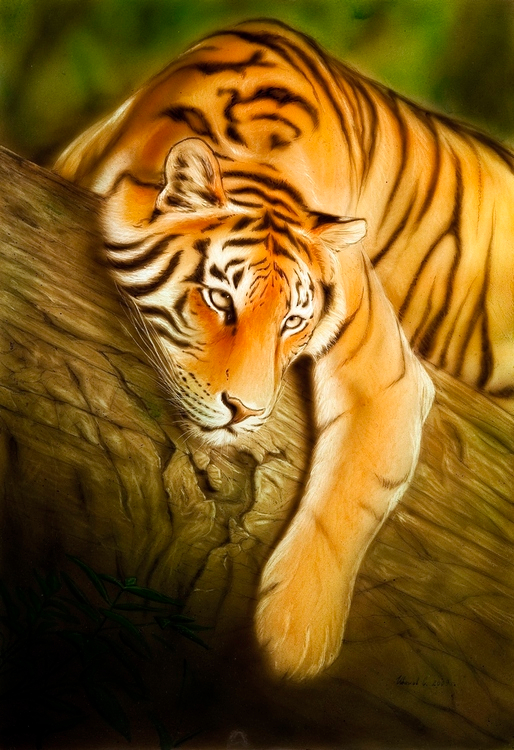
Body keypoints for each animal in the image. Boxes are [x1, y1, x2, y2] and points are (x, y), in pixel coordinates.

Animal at [54, 18, 513, 680]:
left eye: (293, 321)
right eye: (219, 299)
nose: (243, 411)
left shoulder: (390, 374)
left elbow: (355, 490)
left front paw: (292, 645)